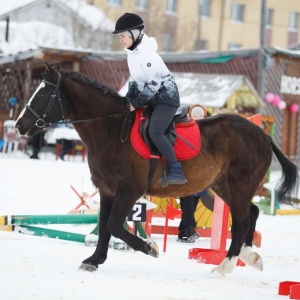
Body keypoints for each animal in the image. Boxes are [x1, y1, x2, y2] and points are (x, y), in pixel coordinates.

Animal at [15, 63, 298, 276]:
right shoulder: (107, 191)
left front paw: (149, 246)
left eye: (43, 94)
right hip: (224, 186)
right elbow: (104, 227)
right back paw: (250, 256)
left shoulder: (128, 191)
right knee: (251, 213)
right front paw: (94, 260)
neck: (110, 131)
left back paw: (224, 267)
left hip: (238, 186)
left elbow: (115, 225)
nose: (19, 125)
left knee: (240, 222)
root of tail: (262, 135)